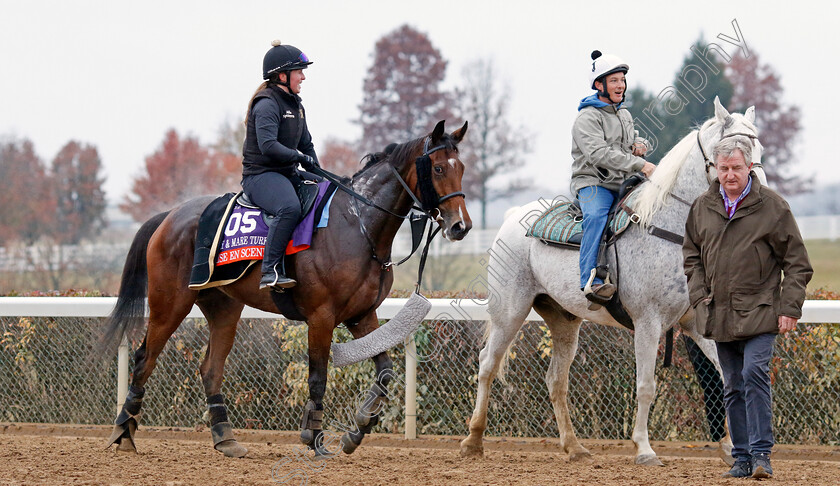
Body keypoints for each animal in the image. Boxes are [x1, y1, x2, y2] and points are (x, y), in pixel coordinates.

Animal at [98, 119, 472, 458]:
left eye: (462, 168)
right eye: (438, 168)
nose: (461, 226)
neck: (358, 223)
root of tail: (168, 216)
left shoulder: (361, 315)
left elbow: (385, 372)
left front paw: (358, 429)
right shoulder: (321, 317)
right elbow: (318, 377)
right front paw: (314, 438)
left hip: (224, 308)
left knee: (210, 369)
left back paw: (225, 439)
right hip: (170, 303)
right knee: (145, 358)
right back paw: (124, 433)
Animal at [462, 98, 764, 468]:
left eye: (758, 148)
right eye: (732, 151)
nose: (755, 187)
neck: (667, 228)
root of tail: (512, 217)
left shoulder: (697, 324)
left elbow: (726, 376)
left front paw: (731, 447)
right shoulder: (648, 323)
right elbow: (646, 385)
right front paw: (644, 449)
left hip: (564, 321)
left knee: (556, 379)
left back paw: (574, 447)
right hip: (509, 311)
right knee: (487, 365)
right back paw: (473, 440)